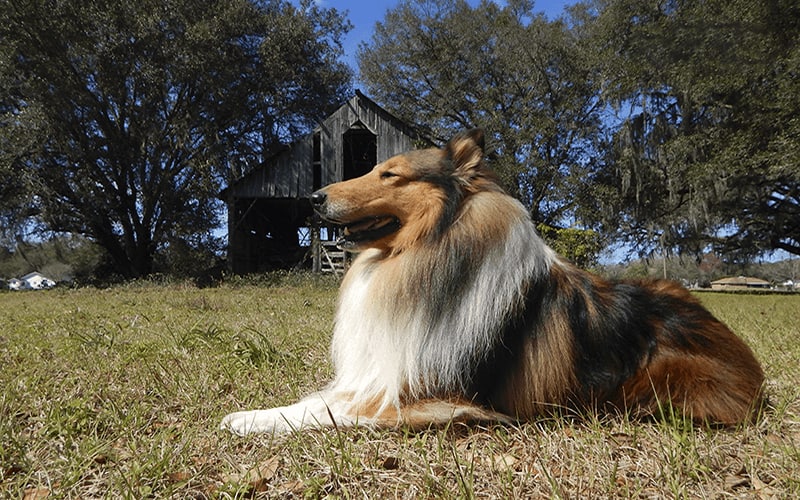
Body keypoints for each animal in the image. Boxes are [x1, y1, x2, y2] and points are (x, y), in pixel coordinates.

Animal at [219, 129, 764, 434]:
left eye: (390, 174)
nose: (313, 198)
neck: (430, 248)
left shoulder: (437, 396)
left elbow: (329, 412)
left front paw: (247, 419)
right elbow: (321, 399)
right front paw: (258, 411)